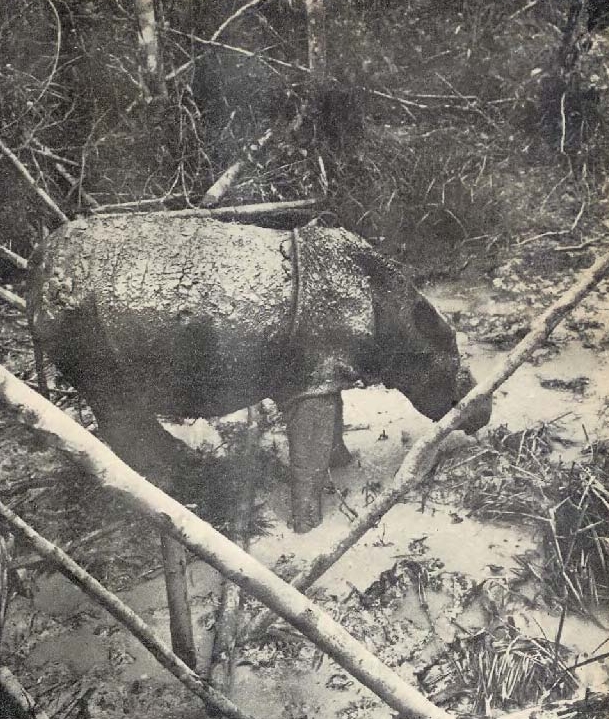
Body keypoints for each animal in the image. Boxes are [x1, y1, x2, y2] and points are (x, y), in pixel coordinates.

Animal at [27, 215, 491, 532]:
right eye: (452, 369)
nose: (484, 409)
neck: (395, 311)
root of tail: (38, 264)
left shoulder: (320, 373)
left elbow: (331, 423)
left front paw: (343, 465)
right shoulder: (314, 375)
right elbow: (309, 454)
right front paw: (308, 529)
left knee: (117, 403)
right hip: (80, 320)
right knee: (115, 399)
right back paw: (177, 486)